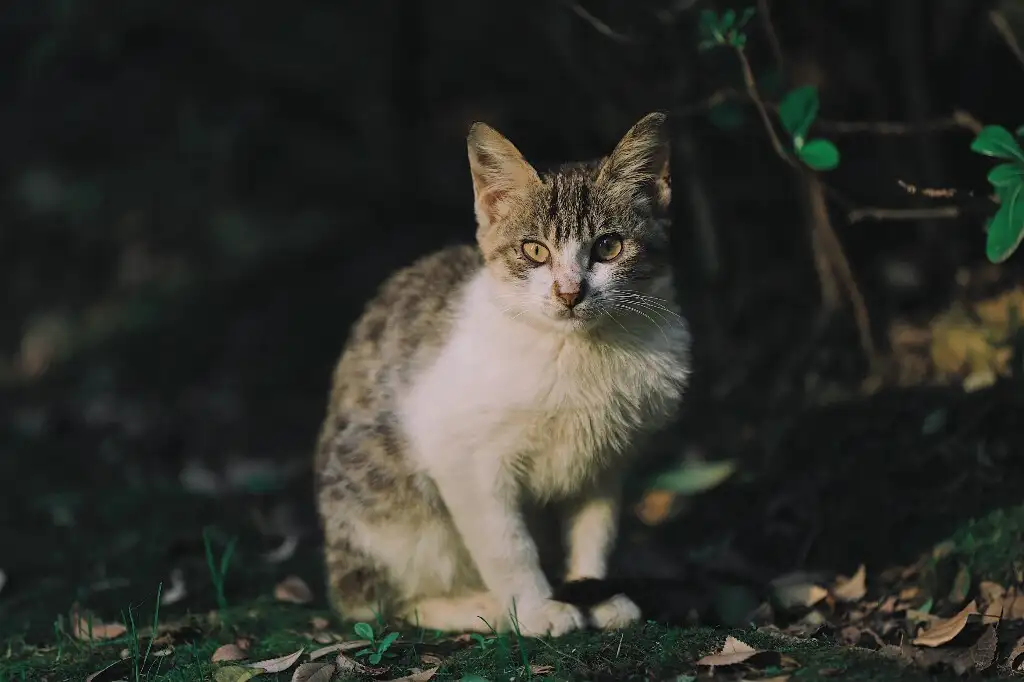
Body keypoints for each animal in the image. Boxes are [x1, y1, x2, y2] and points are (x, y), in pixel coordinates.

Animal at [315, 111, 692, 638]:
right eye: (534, 251)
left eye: (608, 246)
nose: (569, 293)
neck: (576, 351)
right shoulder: (461, 454)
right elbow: (507, 544)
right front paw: (535, 609)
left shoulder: (607, 459)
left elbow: (595, 530)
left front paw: (591, 590)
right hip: (385, 499)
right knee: (380, 605)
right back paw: (480, 608)